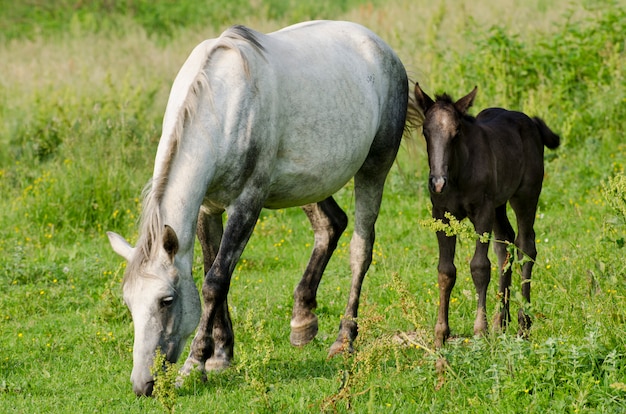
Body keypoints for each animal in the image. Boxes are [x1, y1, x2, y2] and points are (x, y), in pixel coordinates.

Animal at [107, 21, 420, 396]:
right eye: (128, 302)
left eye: (166, 301)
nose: (142, 384)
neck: (223, 103)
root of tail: (382, 48)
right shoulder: (207, 208)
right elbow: (214, 272)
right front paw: (221, 355)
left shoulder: (247, 203)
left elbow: (214, 282)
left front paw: (195, 364)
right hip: (308, 184)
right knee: (331, 224)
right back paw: (302, 321)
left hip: (374, 168)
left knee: (360, 249)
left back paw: (344, 340)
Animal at [412, 82, 560, 348]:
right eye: (425, 131)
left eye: (457, 131)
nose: (438, 182)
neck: (458, 173)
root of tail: (532, 122)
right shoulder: (441, 215)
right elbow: (445, 271)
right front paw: (440, 335)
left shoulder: (482, 211)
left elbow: (479, 267)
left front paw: (479, 331)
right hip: (498, 205)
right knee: (506, 243)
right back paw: (501, 321)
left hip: (525, 194)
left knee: (526, 245)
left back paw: (523, 324)